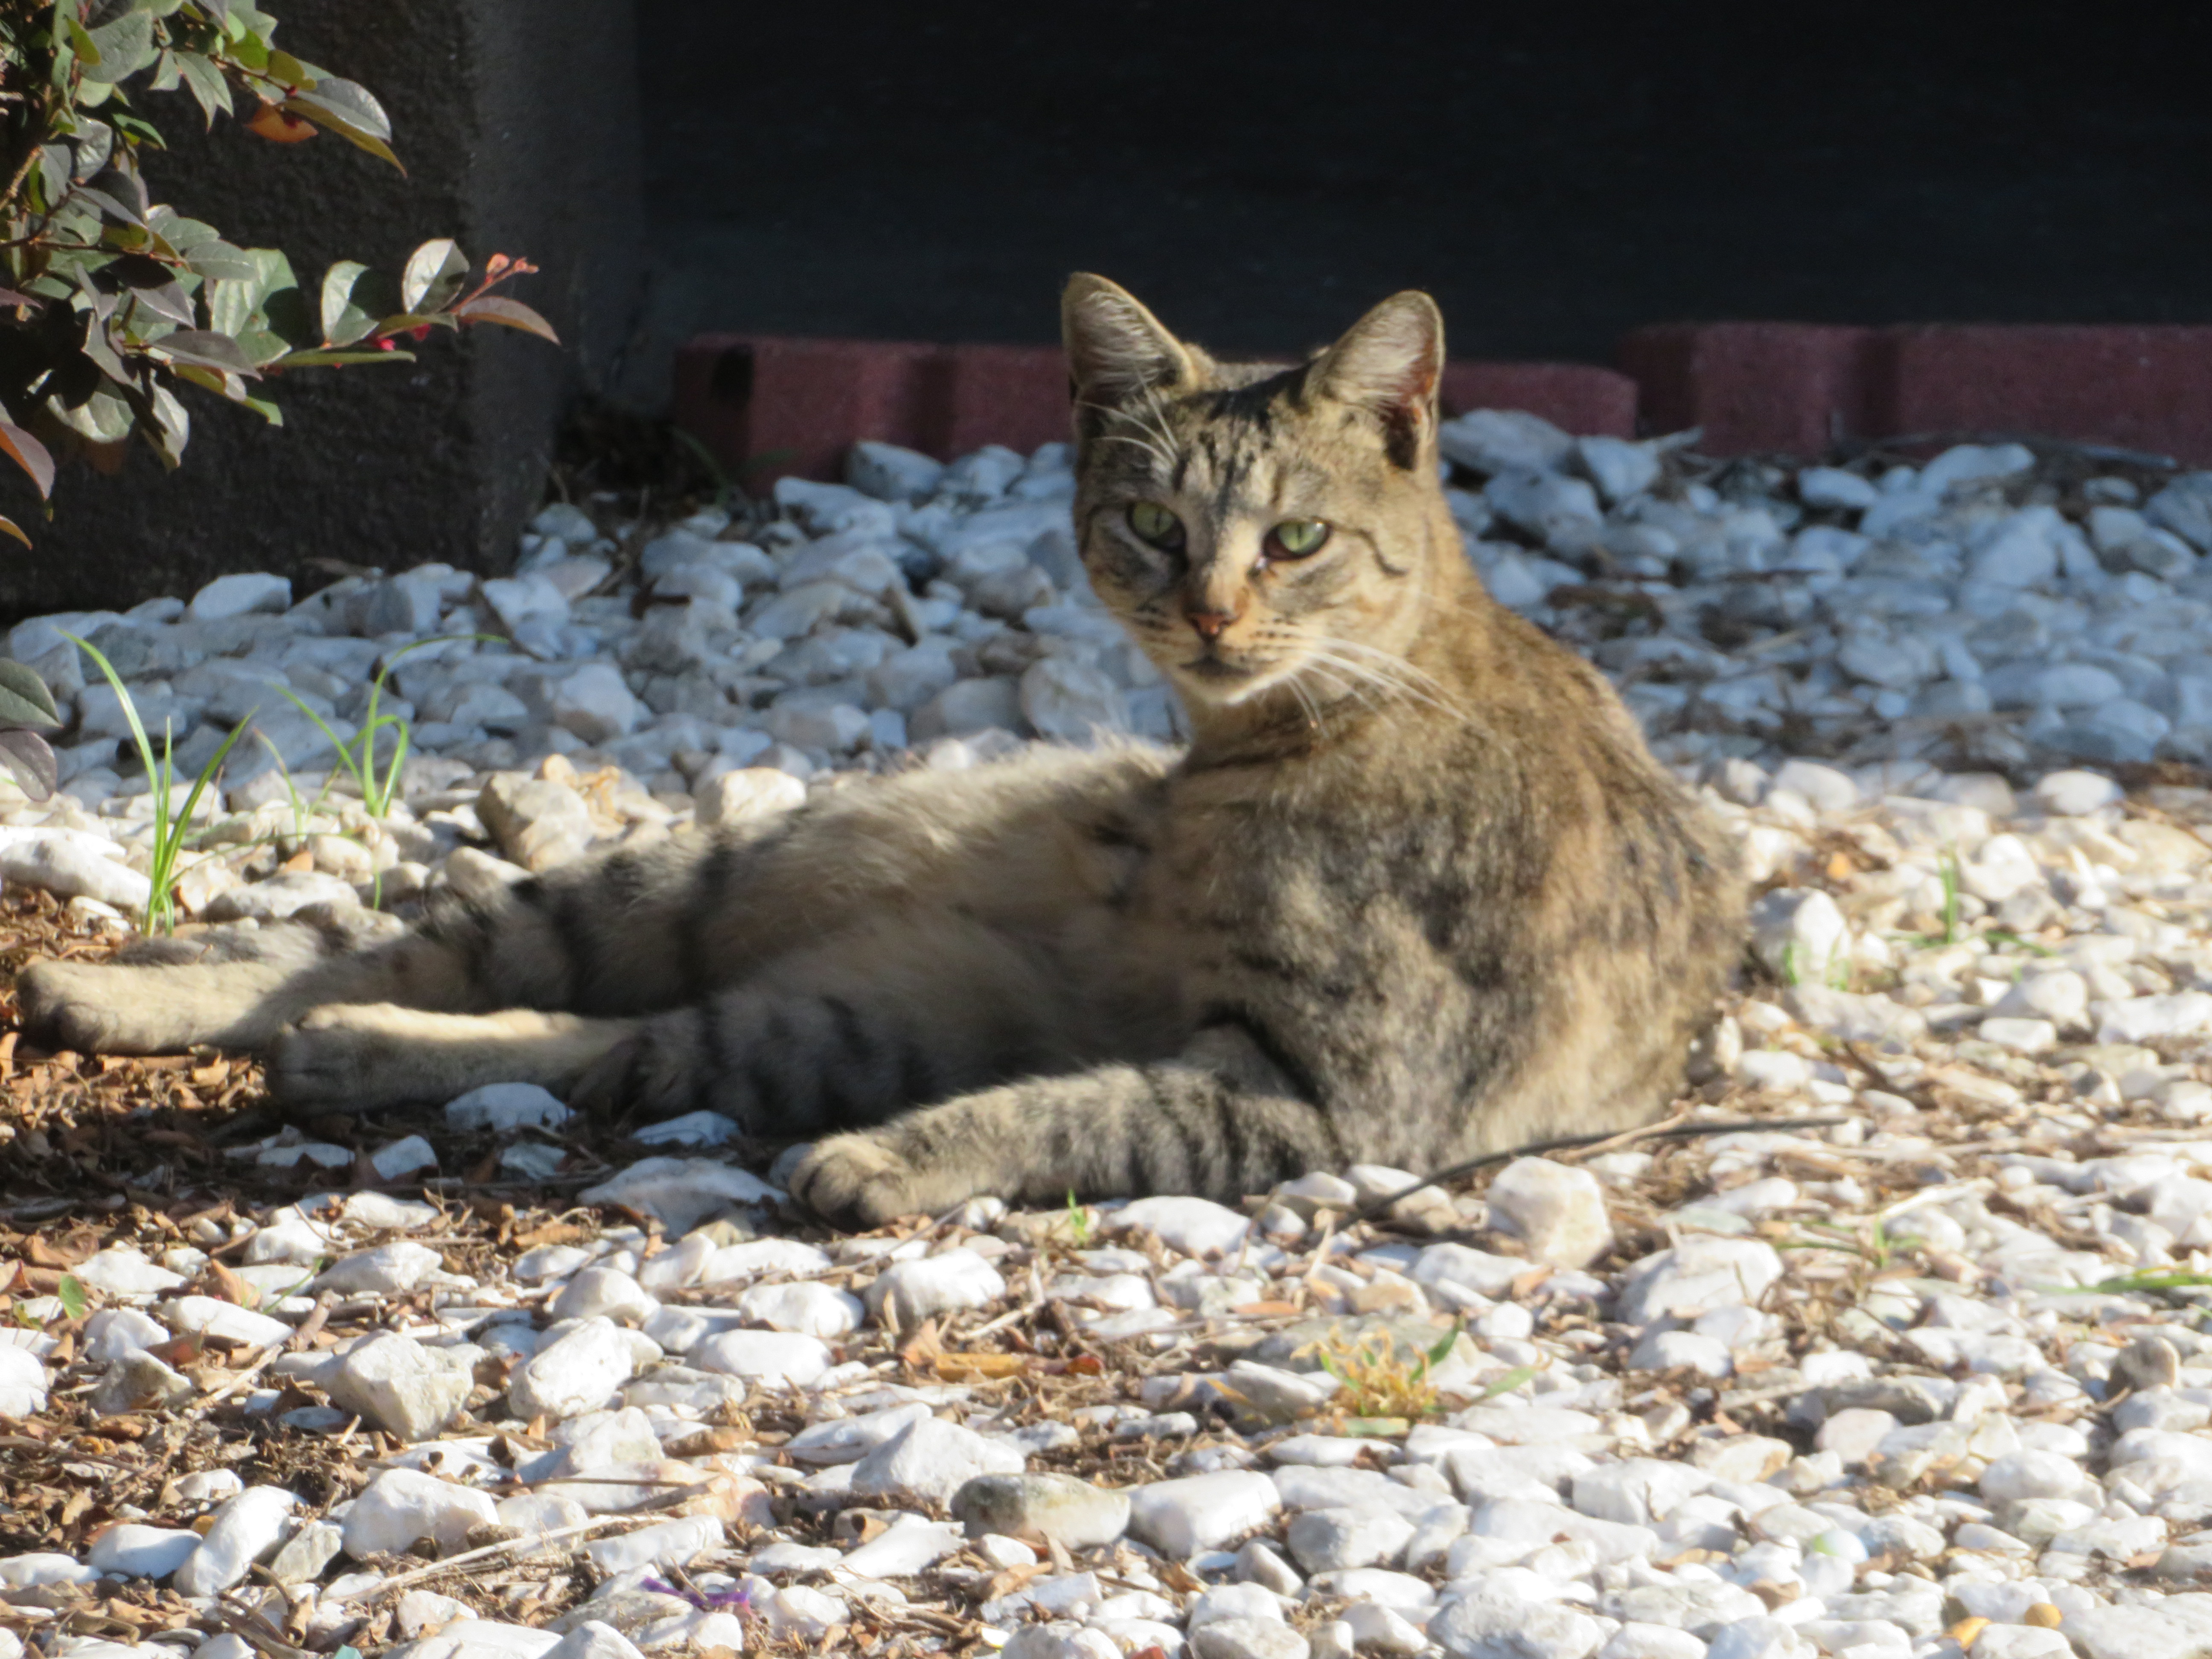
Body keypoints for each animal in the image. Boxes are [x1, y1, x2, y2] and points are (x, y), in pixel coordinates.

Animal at [16, 274, 1744, 1228]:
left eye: (1299, 539)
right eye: (1151, 523)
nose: (1208, 612)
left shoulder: (1341, 1100)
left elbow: (1083, 1110)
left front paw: (898, 1162)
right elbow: (1096, 1108)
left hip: (844, 1011)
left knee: (602, 1042)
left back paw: (347, 1048)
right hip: (724, 865)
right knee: (400, 955)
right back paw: (135, 992)